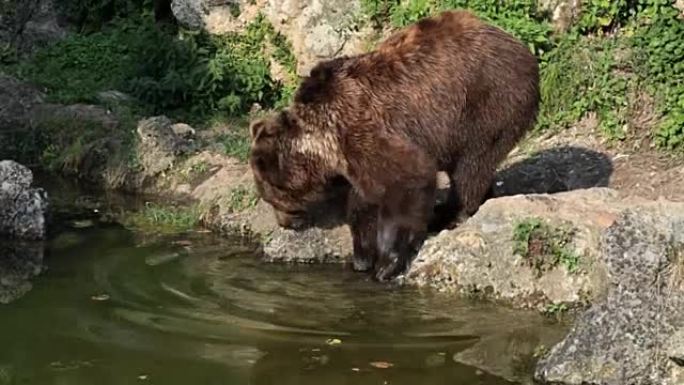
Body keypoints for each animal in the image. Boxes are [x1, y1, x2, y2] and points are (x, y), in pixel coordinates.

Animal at [248, 9, 544, 280]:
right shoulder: (353, 157)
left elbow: (408, 181)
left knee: (471, 165)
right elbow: (363, 204)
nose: (285, 223)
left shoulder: (363, 131)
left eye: (272, 197)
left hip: (485, 104)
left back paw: (450, 213)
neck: (323, 144)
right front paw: (362, 257)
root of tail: (520, 46)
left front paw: (386, 265)